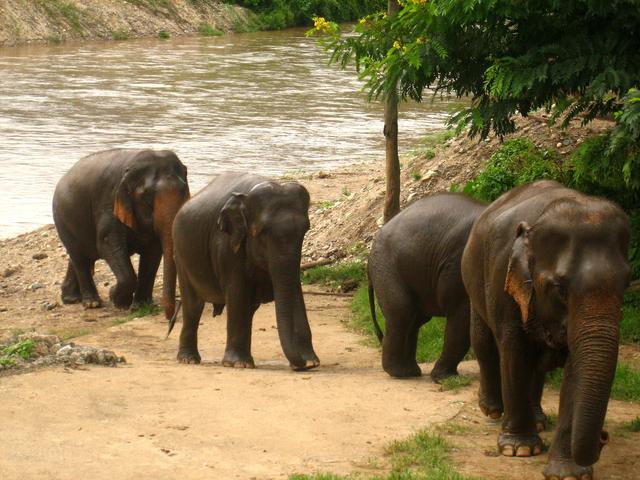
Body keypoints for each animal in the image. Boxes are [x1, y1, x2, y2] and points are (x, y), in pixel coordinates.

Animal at [52, 148, 190, 319]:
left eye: (184, 191)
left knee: (83, 256)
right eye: (146, 197)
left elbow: (152, 252)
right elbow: (106, 243)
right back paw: (92, 303)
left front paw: (141, 306)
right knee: (79, 257)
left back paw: (71, 299)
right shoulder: (109, 202)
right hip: (63, 219)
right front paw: (117, 299)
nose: (171, 318)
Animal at [167, 172, 320, 371]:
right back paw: (189, 359)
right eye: (262, 232)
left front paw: (311, 361)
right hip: (181, 255)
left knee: (249, 308)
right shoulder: (226, 244)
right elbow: (237, 291)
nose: (304, 365)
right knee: (193, 305)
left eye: (305, 229)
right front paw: (238, 364)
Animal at [367, 193, 487, 381]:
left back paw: (410, 372)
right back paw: (400, 374)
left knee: (415, 319)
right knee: (401, 312)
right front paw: (446, 379)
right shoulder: (458, 266)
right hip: (386, 267)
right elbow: (460, 312)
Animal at [461, 180, 630, 480]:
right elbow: (514, 352)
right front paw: (519, 449)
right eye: (561, 288)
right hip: (473, 277)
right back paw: (493, 411)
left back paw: (539, 420)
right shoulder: (503, 278)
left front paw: (569, 473)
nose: (604, 437)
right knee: (483, 342)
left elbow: (575, 372)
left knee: (536, 366)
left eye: (628, 283)